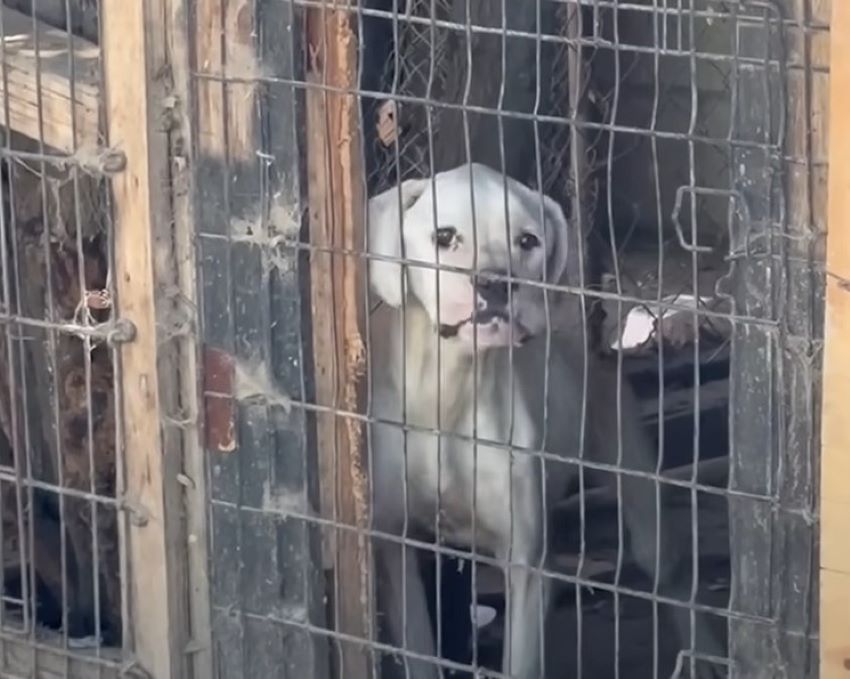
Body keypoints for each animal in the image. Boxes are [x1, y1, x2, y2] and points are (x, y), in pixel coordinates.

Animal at [366, 162, 724, 676]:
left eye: (527, 241)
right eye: (444, 236)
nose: (496, 283)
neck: (449, 387)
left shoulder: (523, 564)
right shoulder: (394, 547)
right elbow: (418, 649)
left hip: (630, 468)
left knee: (668, 570)